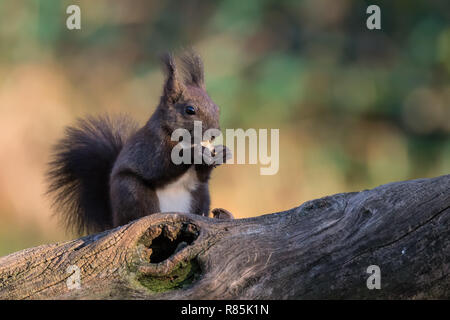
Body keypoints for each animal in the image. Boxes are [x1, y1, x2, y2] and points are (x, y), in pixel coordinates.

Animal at [47, 50, 234, 235]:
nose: (214, 134)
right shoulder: (151, 149)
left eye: (217, 108)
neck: (185, 140)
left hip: (201, 194)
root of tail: (115, 220)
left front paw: (223, 153)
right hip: (133, 191)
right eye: (190, 110)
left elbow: (201, 176)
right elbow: (161, 169)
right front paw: (192, 154)